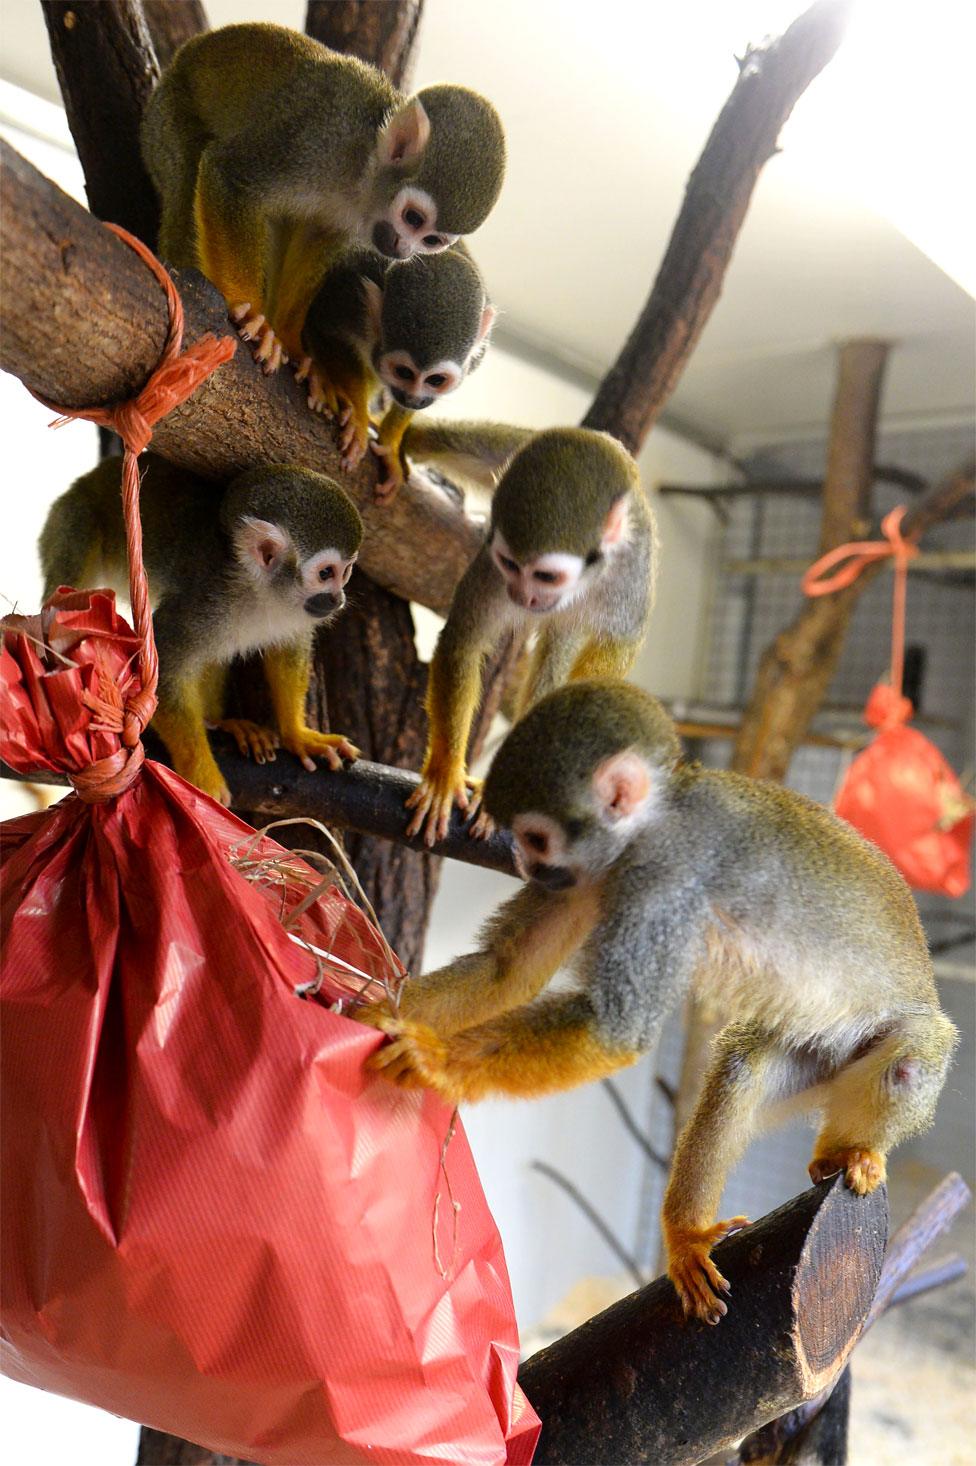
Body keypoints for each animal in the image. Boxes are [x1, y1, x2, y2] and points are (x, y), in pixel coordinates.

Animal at [37, 454, 364, 803]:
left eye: (346, 572)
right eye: (326, 573)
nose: (337, 599)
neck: (258, 591)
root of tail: (92, 476)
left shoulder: (295, 612)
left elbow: (289, 653)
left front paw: (298, 734)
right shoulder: (202, 603)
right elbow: (162, 671)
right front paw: (200, 775)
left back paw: (223, 723)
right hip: (73, 517)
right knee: (65, 592)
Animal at [140, 22, 504, 375]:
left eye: (432, 241)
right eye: (412, 218)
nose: (401, 251)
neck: (363, 167)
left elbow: (318, 238)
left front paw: (288, 338)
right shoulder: (318, 136)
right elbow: (229, 176)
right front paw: (249, 310)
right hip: (168, 114)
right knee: (187, 172)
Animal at [298, 241, 495, 492]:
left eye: (436, 380)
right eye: (404, 373)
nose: (413, 399)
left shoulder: (477, 354)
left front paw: (390, 446)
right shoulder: (349, 299)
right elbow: (324, 327)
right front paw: (358, 417)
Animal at [360, 680, 955, 1325]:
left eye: (536, 837)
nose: (529, 866)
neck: (643, 831)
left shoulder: (661, 881)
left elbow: (613, 1027)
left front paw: (434, 1062)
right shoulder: (592, 877)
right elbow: (507, 970)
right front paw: (374, 1011)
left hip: (904, 1037)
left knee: (909, 1061)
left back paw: (855, 1150)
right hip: (816, 1056)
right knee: (745, 1066)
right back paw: (698, 1228)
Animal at [401, 428, 653, 844]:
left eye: (545, 576)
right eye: (511, 565)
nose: (523, 596)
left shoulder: (629, 576)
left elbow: (618, 647)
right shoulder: (493, 566)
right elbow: (462, 642)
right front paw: (444, 775)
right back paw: (397, 433)